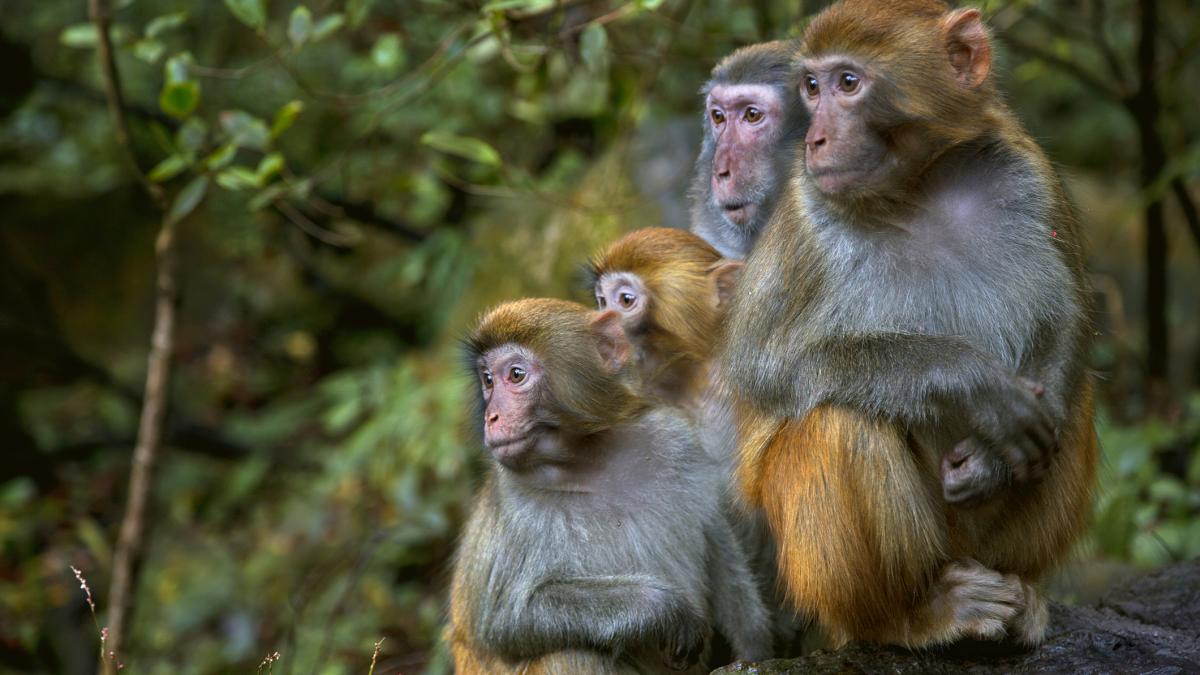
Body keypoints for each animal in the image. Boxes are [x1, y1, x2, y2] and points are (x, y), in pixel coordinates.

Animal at [448, 296, 768, 667]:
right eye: (488, 380)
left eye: (515, 375)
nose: (492, 416)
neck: (591, 460)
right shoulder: (513, 501)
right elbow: (505, 621)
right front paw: (661, 608)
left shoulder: (676, 439)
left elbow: (714, 534)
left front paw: (756, 647)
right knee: (569, 652)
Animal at [720, 1, 1099, 653]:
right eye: (811, 86)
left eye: (848, 83)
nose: (816, 139)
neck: (919, 186)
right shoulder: (806, 217)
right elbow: (768, 369)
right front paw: (970, 381)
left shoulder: (1029, 173)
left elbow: (1066, 316)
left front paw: (996, 458)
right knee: (839, 419)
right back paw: (908, 616)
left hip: (983, 541)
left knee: (1071, 406)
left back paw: (1022, 590)